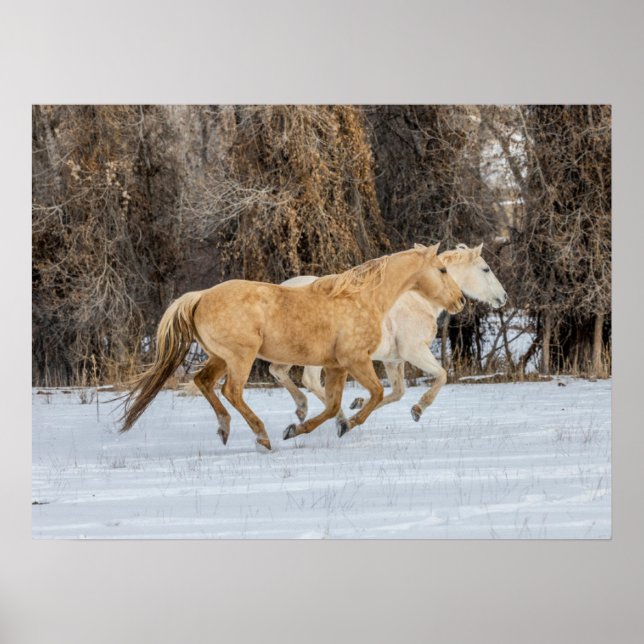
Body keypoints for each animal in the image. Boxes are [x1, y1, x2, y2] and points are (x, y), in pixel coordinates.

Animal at [119, 243, 465, 451]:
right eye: (443, 270)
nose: (460, 301)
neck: (363, 299)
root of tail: (201, 296)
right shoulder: (355, 361)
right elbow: (376, 395)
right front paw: (346, 425)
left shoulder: (336, 366)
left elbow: (332, 405)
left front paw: (300, 429)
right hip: (240, 357)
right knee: (231, 391)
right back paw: (261, 437)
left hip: (219, 357)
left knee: (203, 382)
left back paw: (225, 429)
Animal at [269, 243, 507, 424]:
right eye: (485, 269)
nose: (503, 297)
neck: (419, 301)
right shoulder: (414, 351)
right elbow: (441, 375)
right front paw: (418, 409)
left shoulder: (393, 360)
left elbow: (396, 392)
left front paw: (358, 404)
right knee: (309, 380)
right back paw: (336, 416)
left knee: (278, 371)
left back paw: (306, 410)